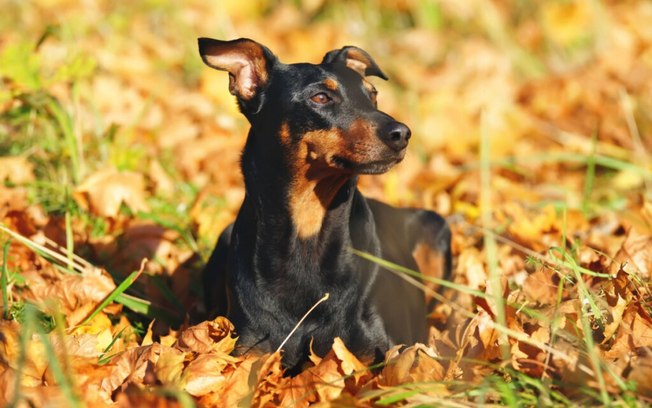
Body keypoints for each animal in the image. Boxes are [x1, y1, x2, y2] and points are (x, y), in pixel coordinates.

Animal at [199, 38, 450, 372]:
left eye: (373, 95)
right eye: (320, 97)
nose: (402, 133)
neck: (308, 224)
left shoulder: (382, 353)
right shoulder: (250, 351)